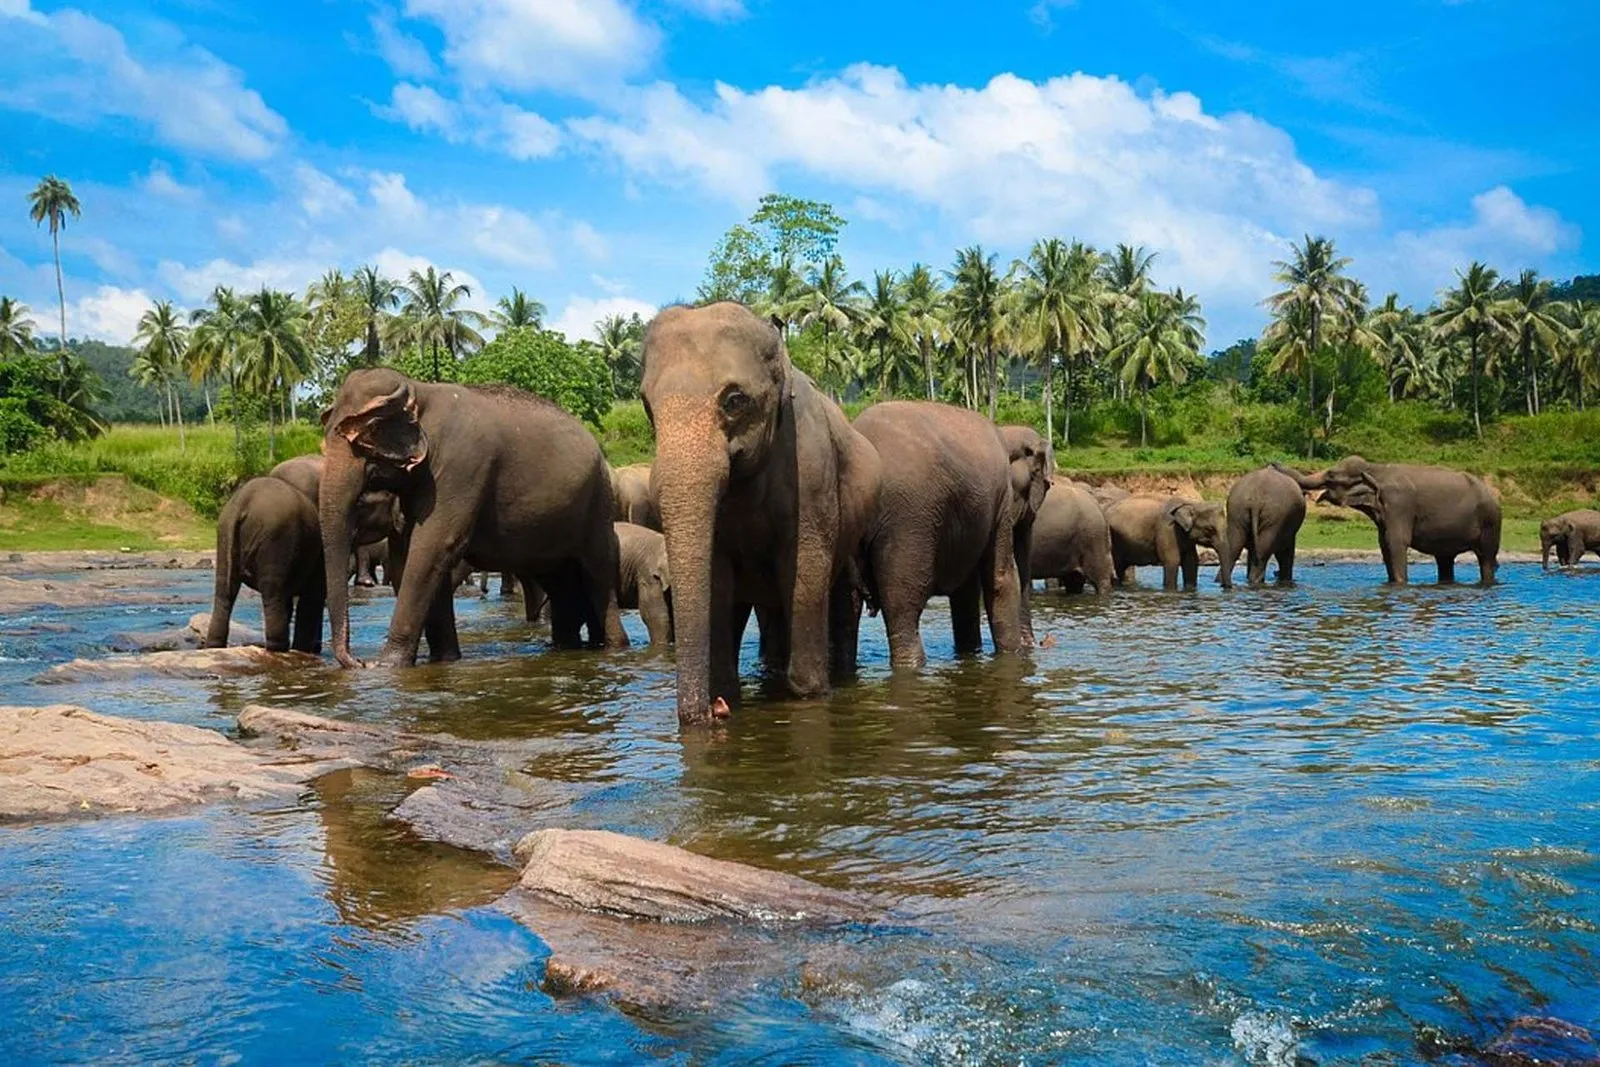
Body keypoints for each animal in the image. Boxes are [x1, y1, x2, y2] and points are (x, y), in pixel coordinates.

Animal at [319, 369, 626, 668]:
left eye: (369, 433)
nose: (358, 661)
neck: (419, 390)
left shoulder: (461, 466)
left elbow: (432, 547)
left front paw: (387, 666)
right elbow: (409, 557)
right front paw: (444, 659)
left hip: (599, 502)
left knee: (597, 574)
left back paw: (614, 647)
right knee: (560, 583)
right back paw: (566, 648)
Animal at [641, 302, 881, 724]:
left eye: (734, 400)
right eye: (646, 407)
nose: (715, 711)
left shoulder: (811, 470)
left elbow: (805, 571)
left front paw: (809, 694)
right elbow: (718, 580)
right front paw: (727, 693)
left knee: (839, 596)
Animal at [1273, 456, 1500, 584]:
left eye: (1331, 476)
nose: (1273, 462)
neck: (1376, 469)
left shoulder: (1399, 506)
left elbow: (1396, 542)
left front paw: (1399, 585)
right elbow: (1384, 544)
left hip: (1491, 522)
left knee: (1487, 559)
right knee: (1444, 560)